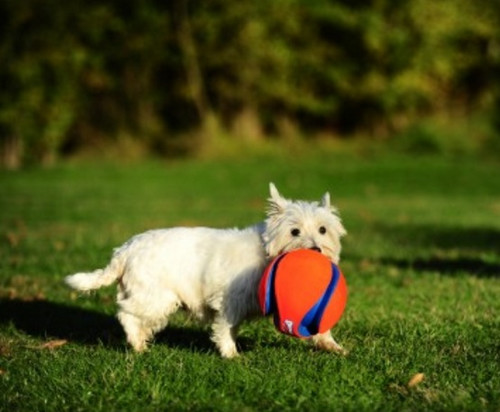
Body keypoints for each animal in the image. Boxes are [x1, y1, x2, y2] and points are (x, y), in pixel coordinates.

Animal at [65, 183, 348, 358]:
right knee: (126, 314)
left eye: (323, 229)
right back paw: (138, 345)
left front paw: (333, 346)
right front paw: (231, 354)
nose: (316, 250)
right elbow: (225, 327)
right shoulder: (229, 301)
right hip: (156, 298)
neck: (266, 252)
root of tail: (125, 250)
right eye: (294, 231)